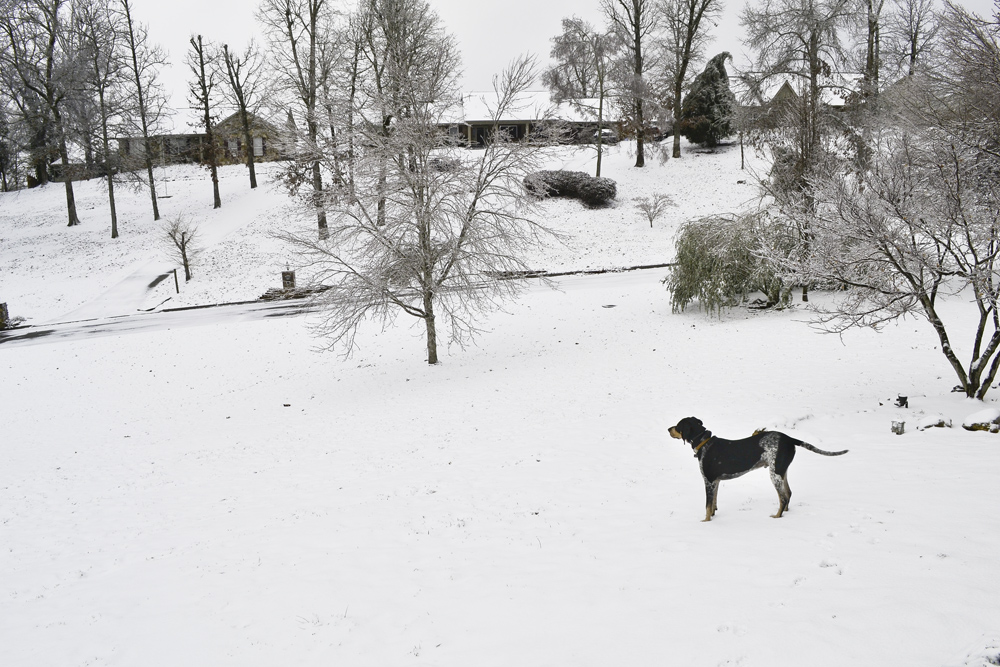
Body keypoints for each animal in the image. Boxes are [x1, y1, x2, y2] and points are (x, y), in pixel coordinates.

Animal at [668, 418, 848, 520]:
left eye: (678, 426)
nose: (668, 428)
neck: (704, 443)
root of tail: (789, 439)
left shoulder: (709, 481)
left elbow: (707, 507)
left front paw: (705, 523)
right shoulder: (715, 482)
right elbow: (713, 505)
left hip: (774, 475)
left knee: (783, 498)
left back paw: (777, 516)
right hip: (781, 471)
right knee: (788, 494)